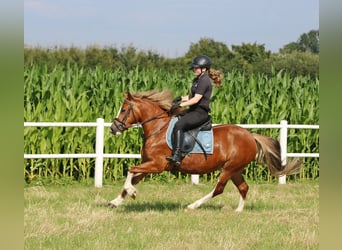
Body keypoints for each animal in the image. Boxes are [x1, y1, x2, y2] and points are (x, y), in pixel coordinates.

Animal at [108, 89, 300, 211]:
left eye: (123, 109)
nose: (113, 129)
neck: (158, 128)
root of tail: (250, 136)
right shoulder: (149, 164)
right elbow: (133, 178)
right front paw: (115, 202)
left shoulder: (157, 165)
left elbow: (130, 171)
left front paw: (131, 193)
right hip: (236, 169)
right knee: (243, 187)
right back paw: (238, 211)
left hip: (229, 169)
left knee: (219, 189)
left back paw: (192, 205)